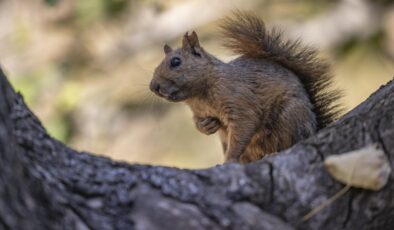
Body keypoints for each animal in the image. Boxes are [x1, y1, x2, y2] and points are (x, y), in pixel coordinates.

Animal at [149, 11, 340, 164]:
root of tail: (315, 125)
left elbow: (244, 126)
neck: (199, 97)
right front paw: (206, 126)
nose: (153, 87)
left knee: (290, 141)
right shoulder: (199, 112)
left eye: (176, 62)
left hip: (290, 117)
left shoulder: (240, 101)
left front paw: (229, 160)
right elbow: (198, 123)